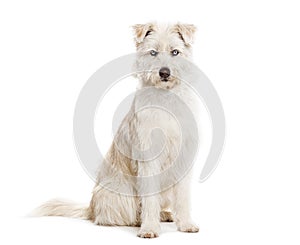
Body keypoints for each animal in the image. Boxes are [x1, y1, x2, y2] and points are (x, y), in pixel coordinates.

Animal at [35, 22, 199, 237]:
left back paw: (164, 215)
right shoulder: (148, 160)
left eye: (175, 52)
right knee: (114, 216)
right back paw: (141, 221)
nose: (164, 73)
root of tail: (91, 207)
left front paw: (186, 223)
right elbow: (149, 199)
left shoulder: (184, 158)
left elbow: (184, 198)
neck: (166, 99)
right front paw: (149, 228)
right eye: (153, 52)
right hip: (120, 192)